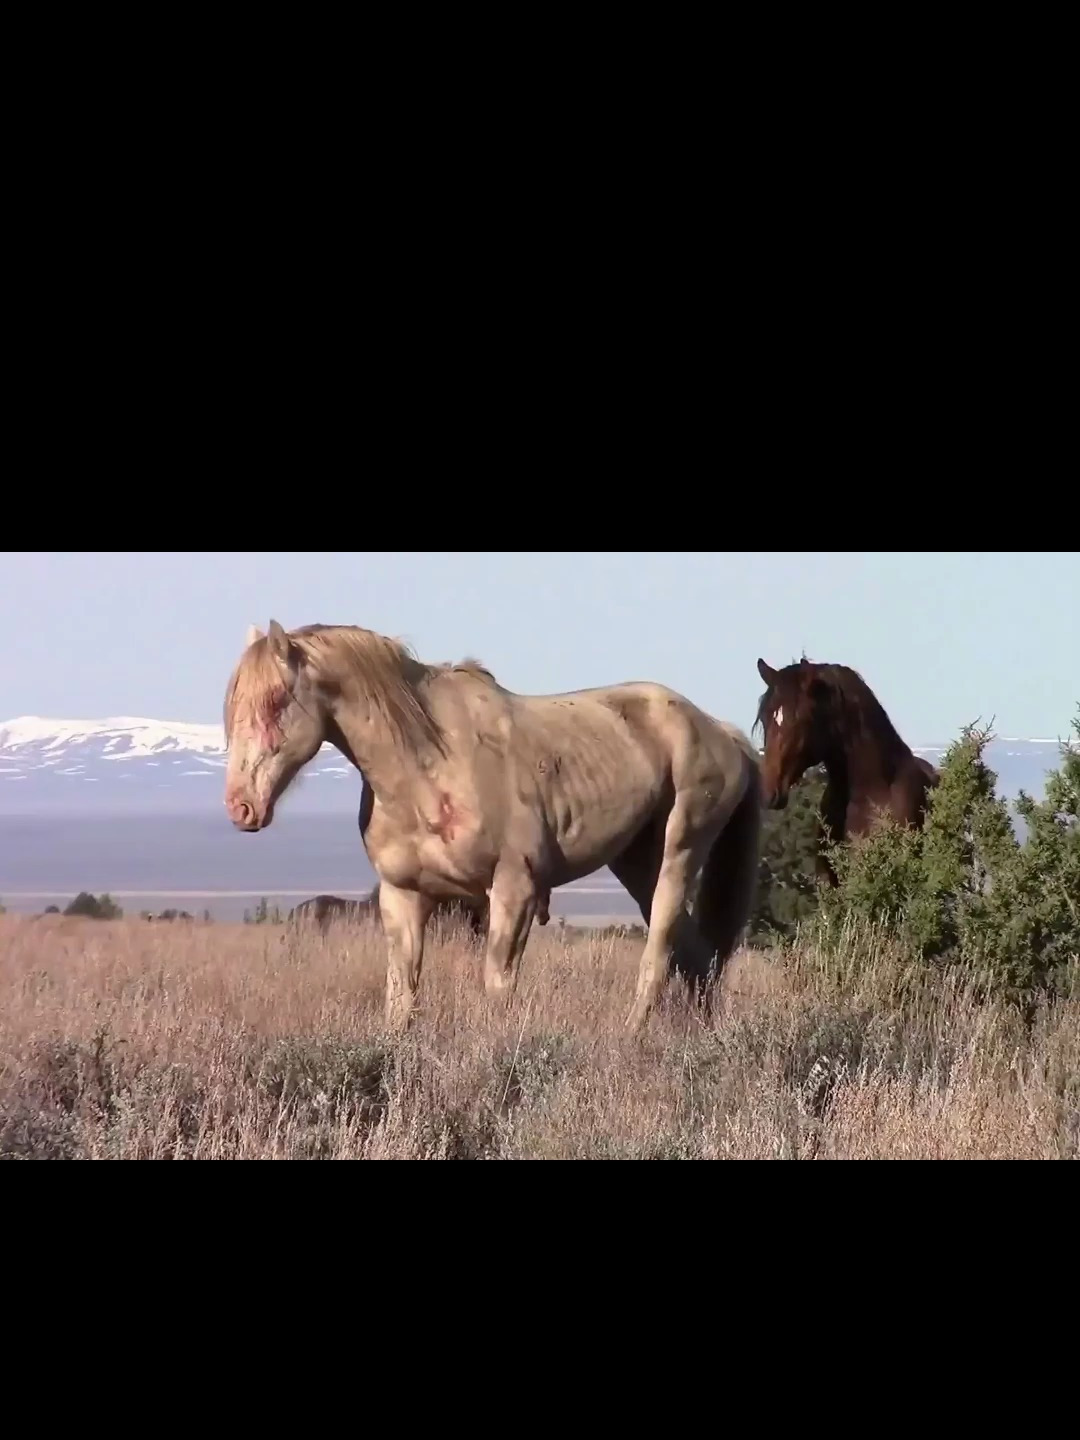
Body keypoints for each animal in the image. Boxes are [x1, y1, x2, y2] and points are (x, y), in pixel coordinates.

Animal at [222, 619, 762, 1034]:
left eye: (276, 699)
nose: (240, 807)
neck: (425, 766)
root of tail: (721, 731)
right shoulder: (403, 895)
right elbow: (402, 992)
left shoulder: (513, 890)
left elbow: (498, 984)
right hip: (636, 862)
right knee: (698, 956)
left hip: (679, 853)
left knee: (662, 952)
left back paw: (632, 1035)